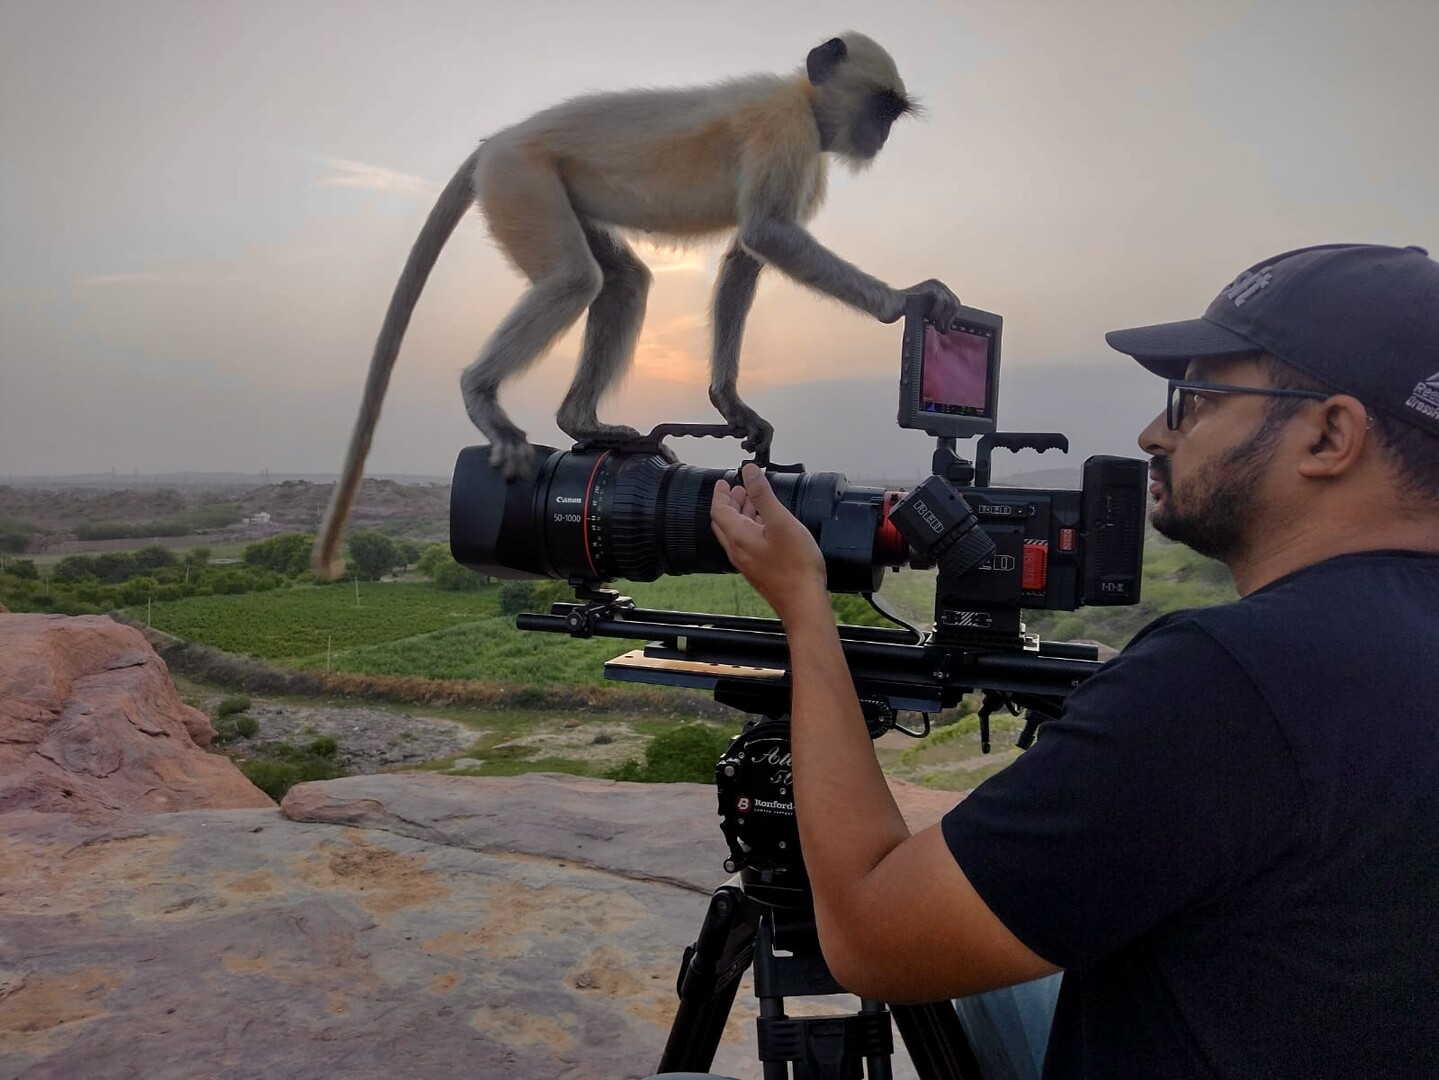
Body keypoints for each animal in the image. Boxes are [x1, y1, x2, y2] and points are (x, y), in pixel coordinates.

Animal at [313, 31, 962, 580]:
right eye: (881, 108)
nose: (880, 137)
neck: (800, 97)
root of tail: (493, 143)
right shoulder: (784, 129)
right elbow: (768, 235)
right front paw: (909, 301)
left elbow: (745, 257)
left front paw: (731, 405)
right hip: (520, 177)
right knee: (575, 279)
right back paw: (483, 396)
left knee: (623, 280)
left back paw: (583, 421)